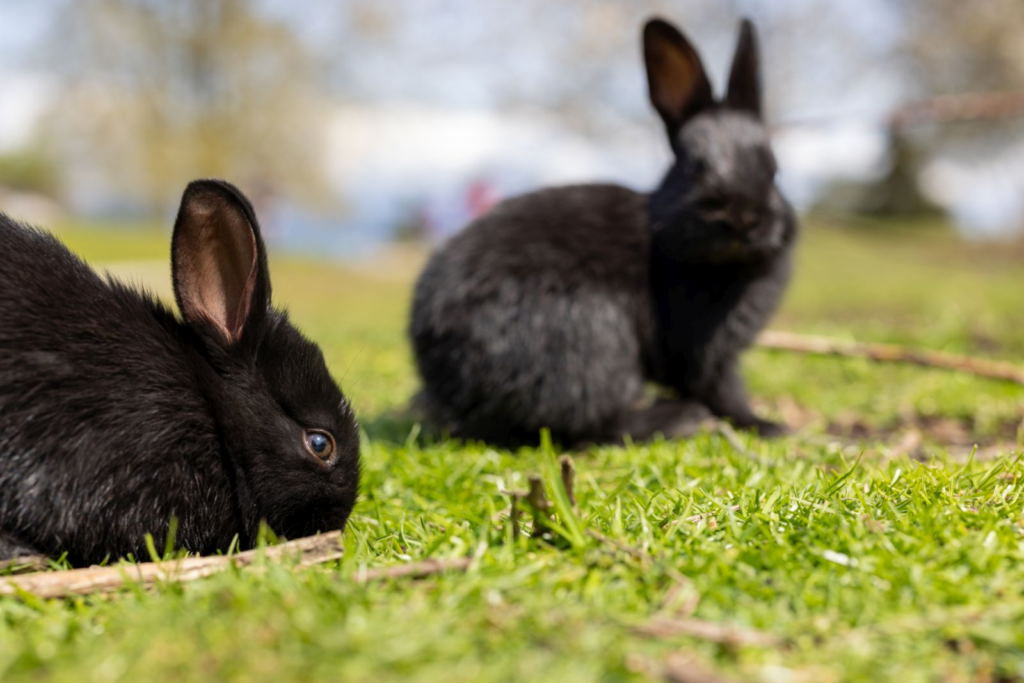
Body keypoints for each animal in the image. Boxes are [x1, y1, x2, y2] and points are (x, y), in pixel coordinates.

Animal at [411, 15, 794, 448]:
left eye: (774, 170)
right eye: (693, 168)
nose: (742, 217)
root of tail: (449, 374)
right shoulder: (704, 351)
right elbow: (722, 389)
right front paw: (766, 425)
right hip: (593, 342)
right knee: (596, 423)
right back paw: (679, 418)